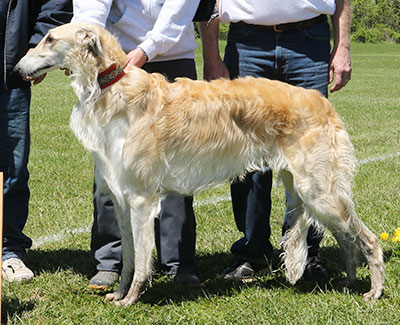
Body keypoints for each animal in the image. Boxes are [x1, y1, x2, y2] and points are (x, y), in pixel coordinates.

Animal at [15, 22, 384, 304]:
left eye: (50, 38)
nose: (16, 69)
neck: (114, 86)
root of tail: (323, 102)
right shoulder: (121, 199)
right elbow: (129, 256)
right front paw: (118, 294)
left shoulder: (140, 200)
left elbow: (141, 260)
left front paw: (131, 299)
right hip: (310, 190)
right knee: (347, 239)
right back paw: (349, 282)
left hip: (319, 191)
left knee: (368, 239)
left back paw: (374, 292)